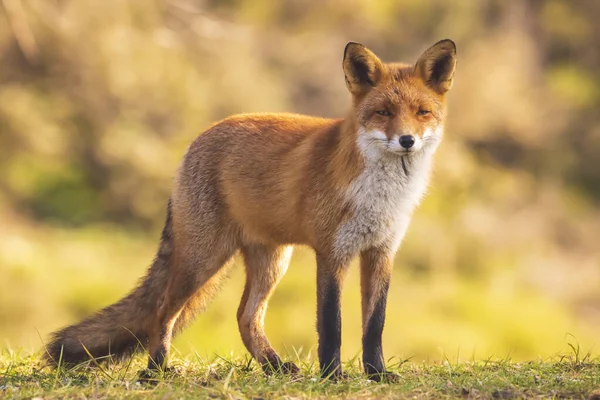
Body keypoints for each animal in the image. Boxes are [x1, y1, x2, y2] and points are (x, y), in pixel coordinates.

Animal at [44, 39, 458, 382]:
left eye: (422, 112)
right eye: (383, 112)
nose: (407, 140)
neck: (382, 195)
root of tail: (200, 137)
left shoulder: (381, 252)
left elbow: (375, 324)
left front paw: (377, 374)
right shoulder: (332, 252)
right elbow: (331, 323)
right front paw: (332, 376)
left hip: (271, 260)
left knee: (245, 317)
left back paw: (274, 367)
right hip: (203, 259)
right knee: (162, 310)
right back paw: (156, 370)